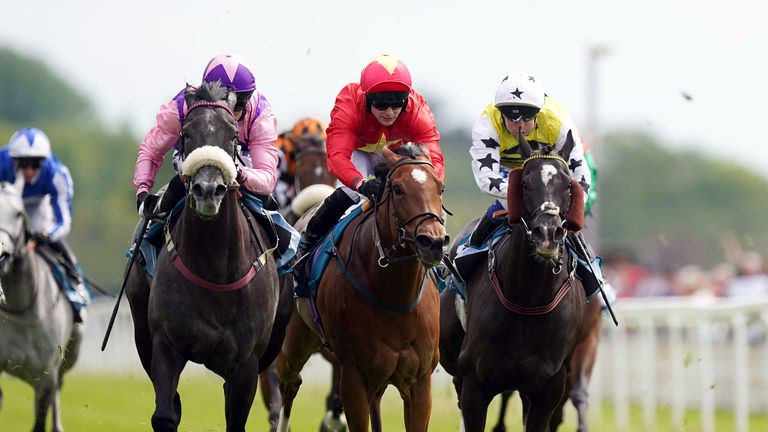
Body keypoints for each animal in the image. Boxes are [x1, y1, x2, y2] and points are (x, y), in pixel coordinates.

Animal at [0, 182, 84, 432]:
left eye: (19, 213)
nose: (0, 254)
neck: (21, 308)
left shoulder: (45, 377)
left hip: (69, 357)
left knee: (58, 390)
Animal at [126, 82, 288, 432]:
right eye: (186, 134)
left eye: (232, 135)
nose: (208, 190)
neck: (215, 269)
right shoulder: (165, 343)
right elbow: (165, 414)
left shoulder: (246, 364)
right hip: (141, 329)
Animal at [276, 145, 448, 432]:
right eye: (397, 189)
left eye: (440, 188)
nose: (432, 241)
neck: (395, 296)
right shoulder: (353, 377)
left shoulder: (420, 381)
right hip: (294, 340)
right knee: (289, 382)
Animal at [438, 132, 588, 432]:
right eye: (526, 182)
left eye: (568, 184)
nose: (548, 233)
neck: (528, 301)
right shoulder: (474, 381)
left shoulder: (549, 388)